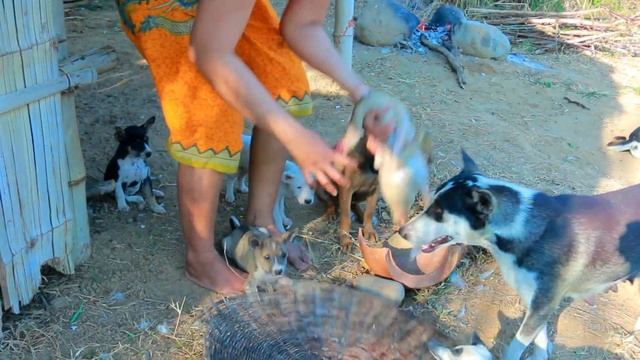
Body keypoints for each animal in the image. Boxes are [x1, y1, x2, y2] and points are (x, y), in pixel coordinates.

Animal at [400, 150, 640, 358]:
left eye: (439, 212)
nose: (401, 231)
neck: (527, 231)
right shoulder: (534, 299)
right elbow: (540, 337)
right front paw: (541, 356)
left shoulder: (543, 303)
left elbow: (517, 345)